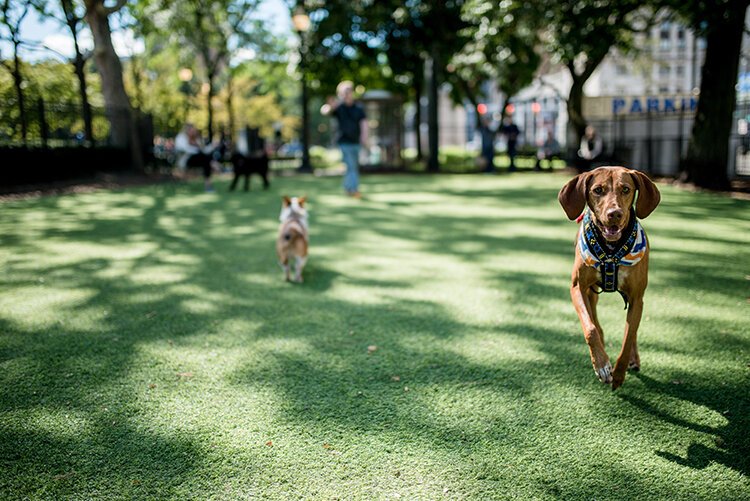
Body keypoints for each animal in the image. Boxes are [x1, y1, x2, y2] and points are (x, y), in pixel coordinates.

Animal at [560, 166, 664, 388]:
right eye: (598, 190)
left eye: (625, 189)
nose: (614, 214)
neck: (611, 249)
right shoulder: (578, 288)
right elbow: (590, 328)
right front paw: (601, 364)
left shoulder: (636, 298)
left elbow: (628, 336)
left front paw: (618, 373)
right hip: (591, 294)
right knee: (595, 321)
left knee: (632, 331)